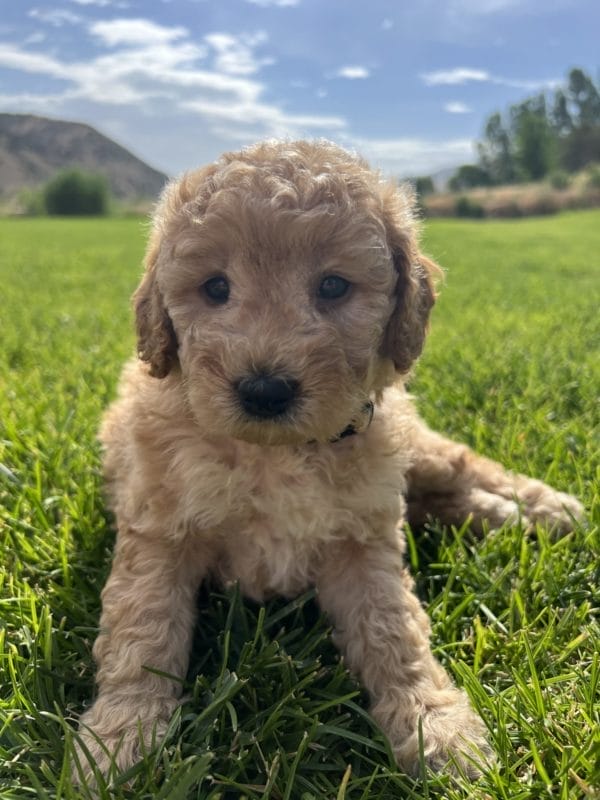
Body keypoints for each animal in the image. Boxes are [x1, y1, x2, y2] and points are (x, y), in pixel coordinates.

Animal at [74, 138, 580, 780]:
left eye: (334, 287)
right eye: (215, 288)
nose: (264, 390)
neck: (277, 453)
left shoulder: (362, 538)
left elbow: (394, 630)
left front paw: (436, 726)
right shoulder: (160, 530)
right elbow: (142, 631)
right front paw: (120, 738)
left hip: (414, 450)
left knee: (461, 468)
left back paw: (545, 509)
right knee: (441, 499)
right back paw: (510, 517)